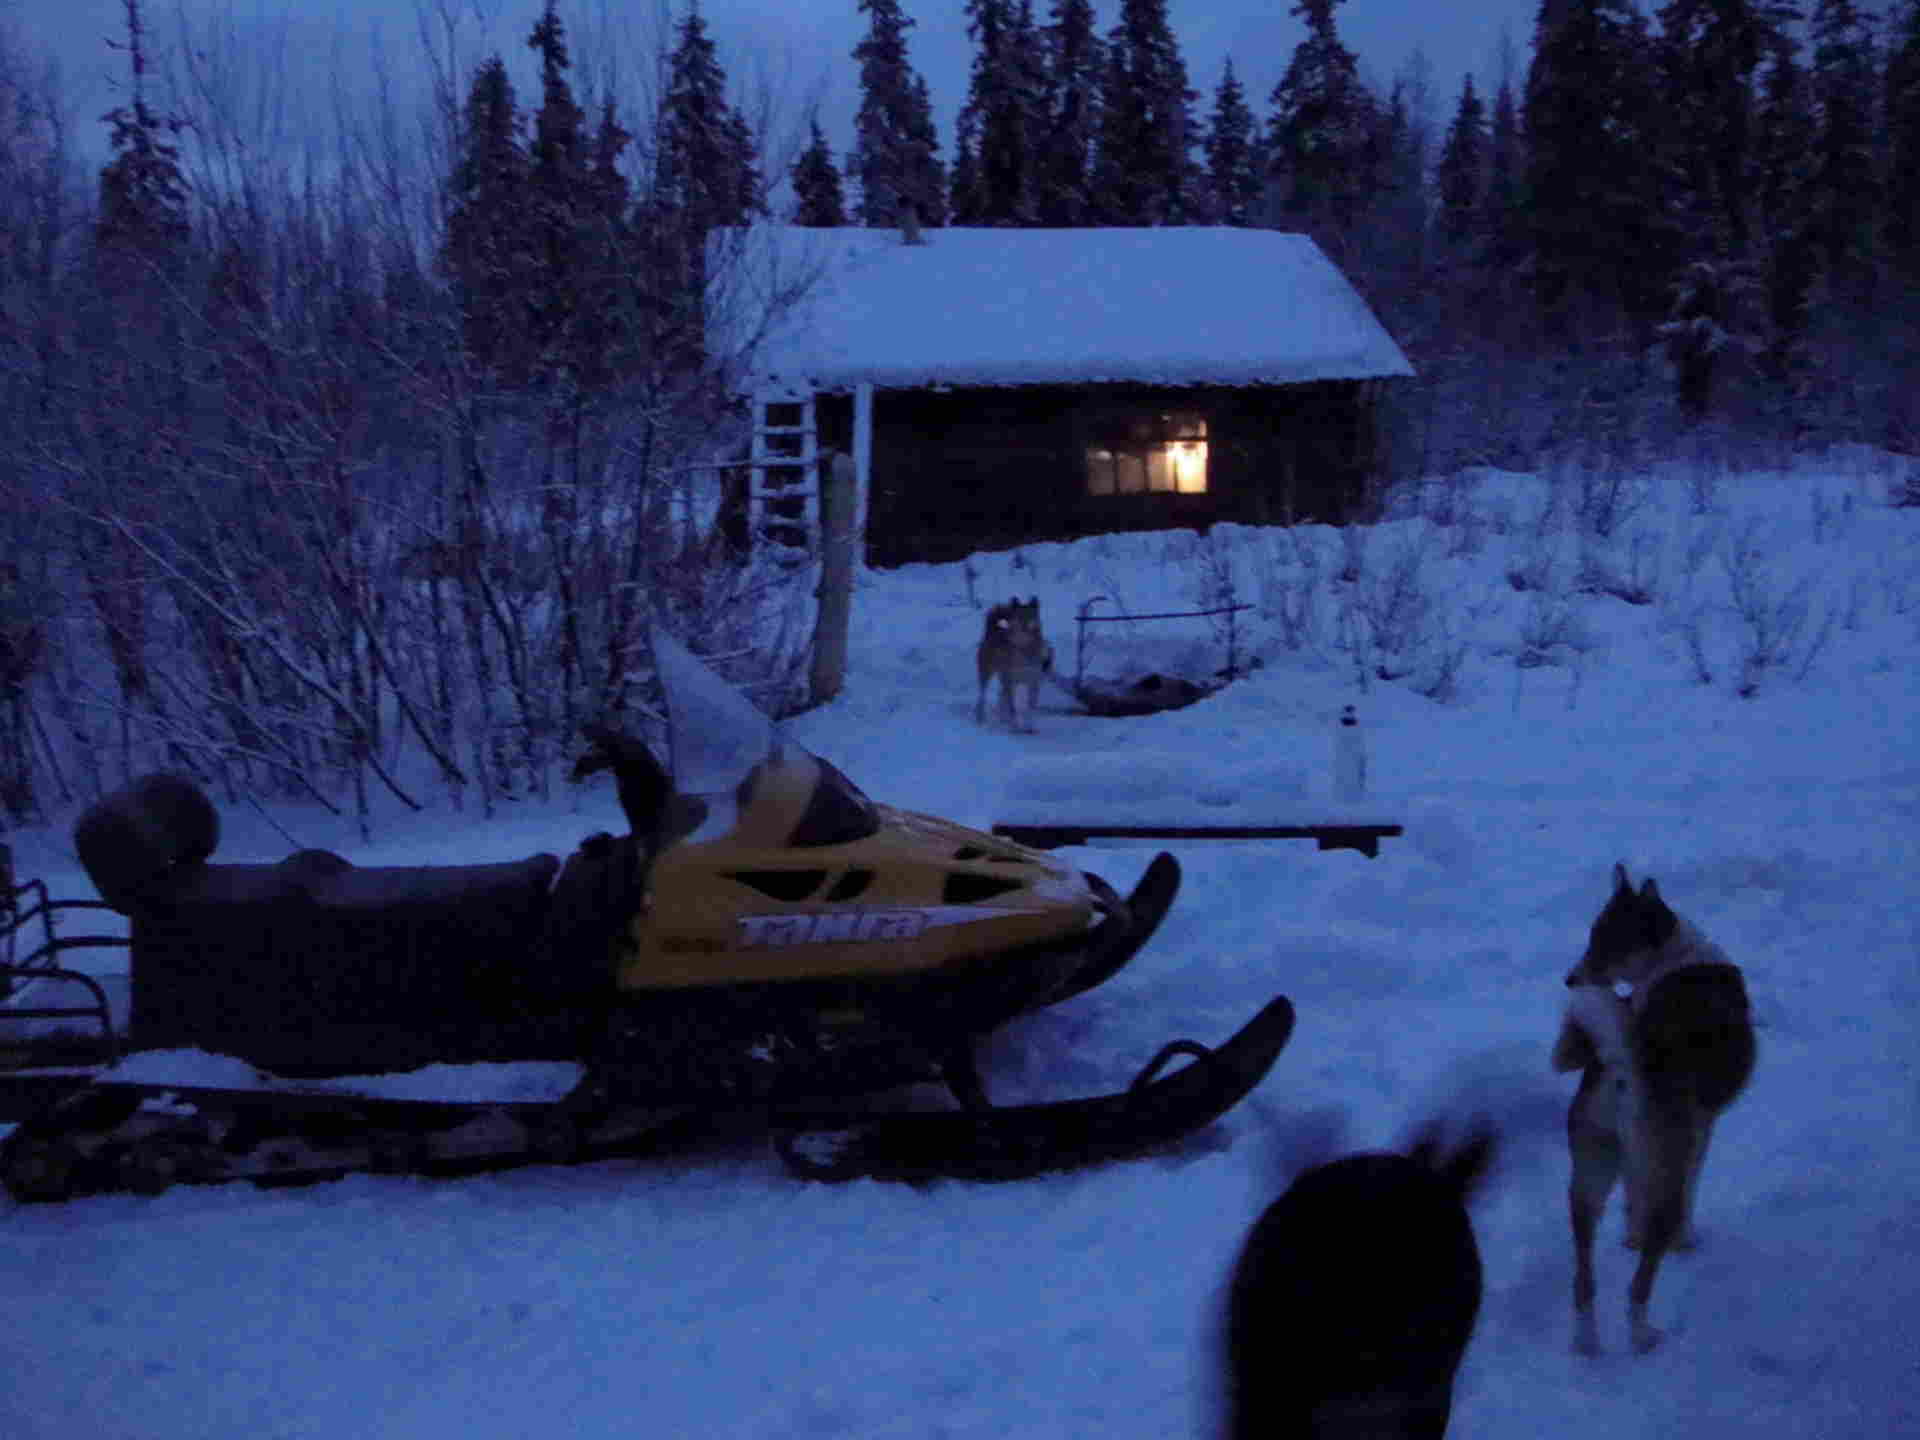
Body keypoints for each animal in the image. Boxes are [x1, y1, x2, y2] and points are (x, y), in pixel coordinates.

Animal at [975, 599, 1052, 733]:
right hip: (987, 674)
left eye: (1031, 616)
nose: (1025, 627)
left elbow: (1030, 708)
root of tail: (992, 631)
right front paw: (1014, 726)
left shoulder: (1033, 683)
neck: (1024, 649)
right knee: (982, 695)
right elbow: (1013, 708)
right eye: (1019, 616)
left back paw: (1001, 718)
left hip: (1004, 679)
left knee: (1001, 696)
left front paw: (1030, 727)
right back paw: (981, 717)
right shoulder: (1010, 681)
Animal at [1551, 867, 1758, 1351]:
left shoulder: (1635, 1160)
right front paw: (1687, 1240)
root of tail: (1620, 1067)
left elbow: (1633, 1200)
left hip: (1588, 1177)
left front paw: (1630, 1236)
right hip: (1661, 1170)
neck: (1675, 956)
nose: (1571, 979)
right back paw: (1643, 1335)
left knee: (1583, 1277)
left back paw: (1586, 1341)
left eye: (1605, 942)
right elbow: (1690, 1193)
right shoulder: (1700, 1134)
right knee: (1639, 1283)